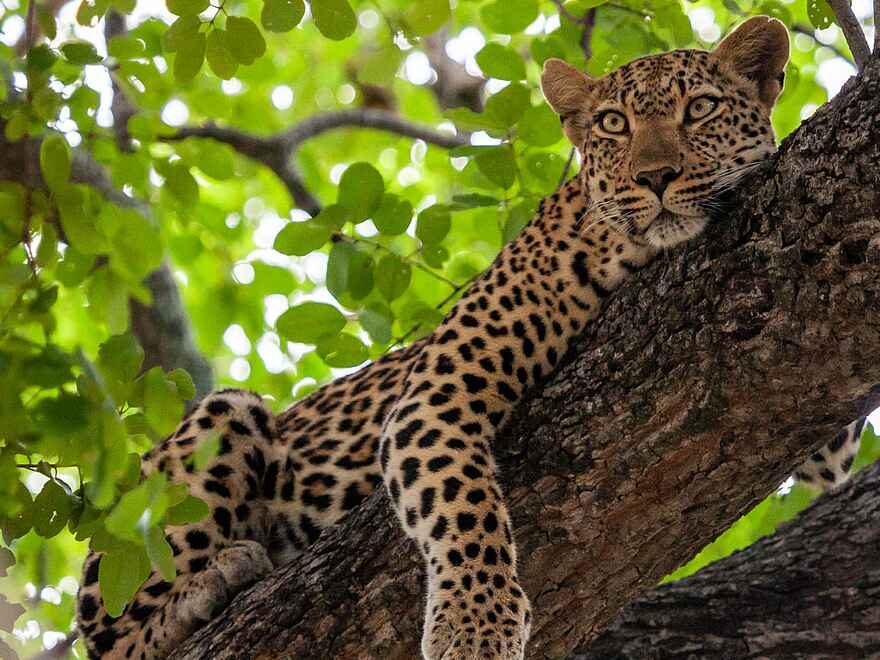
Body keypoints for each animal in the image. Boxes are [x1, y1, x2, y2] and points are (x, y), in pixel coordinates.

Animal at [76, 16, 866, 659]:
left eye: (699, 109)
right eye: (613, 125)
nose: (657, 177)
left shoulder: (820, 419)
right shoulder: (441, 386)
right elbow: (466, 507)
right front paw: (475, 626)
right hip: (217, 426)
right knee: (113, 634)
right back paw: (208, 585)